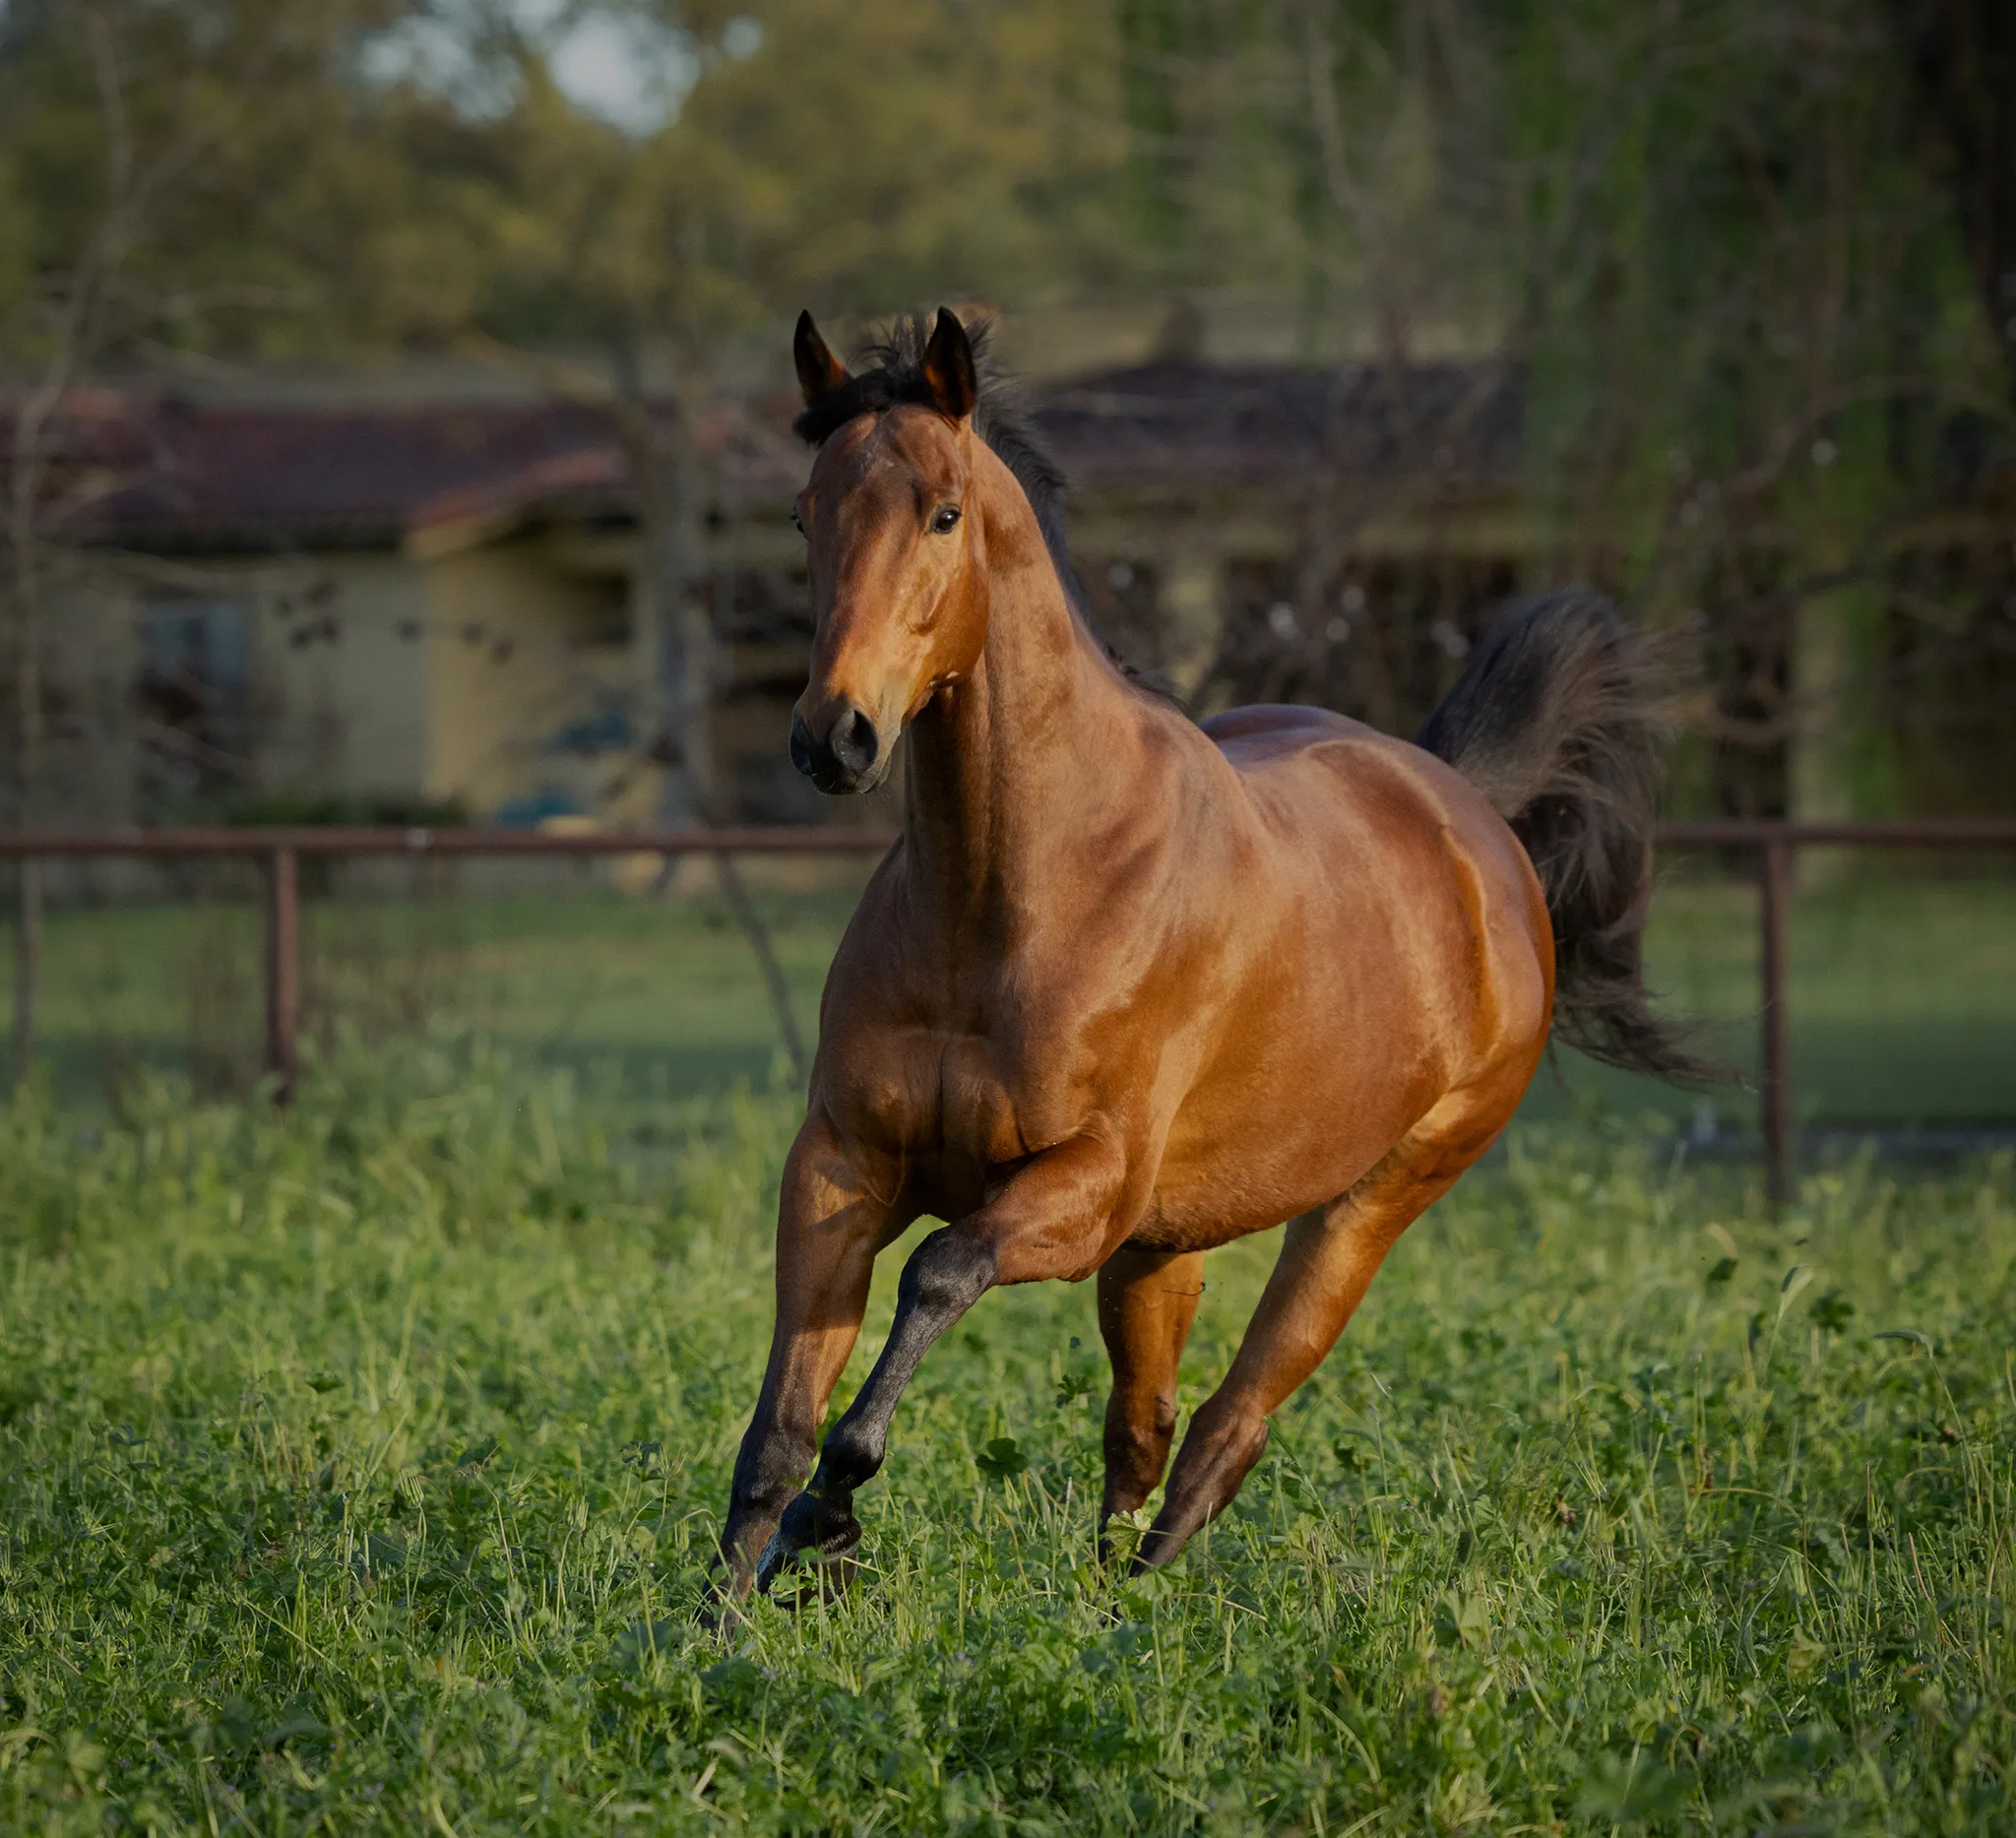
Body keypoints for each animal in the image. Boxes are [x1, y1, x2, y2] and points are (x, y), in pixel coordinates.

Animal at [717, 306, 1706, 1598]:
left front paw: (830, 1517)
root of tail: (1467, 816)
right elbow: (778, 1421)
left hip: (1363, 1209)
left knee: (1224, 1430)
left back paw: (1132, 1610)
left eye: (942, 511)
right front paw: (725, 1605)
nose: (834, 735)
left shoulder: (1083, 1183)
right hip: (1161, 1246)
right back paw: (1088, 1610)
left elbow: (937, 1270)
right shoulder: (841, 1164)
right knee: (1140, 1431)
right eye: (804, 514)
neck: (1007, 900)